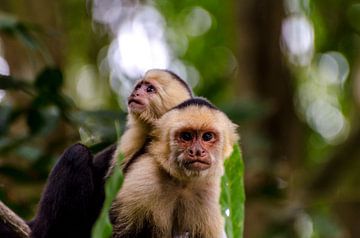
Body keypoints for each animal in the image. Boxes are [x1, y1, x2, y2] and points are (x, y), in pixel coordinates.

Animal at [109, 97, 239, 237]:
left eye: (207, 136)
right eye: (186, 136)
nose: (197, 151)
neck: (182, 183)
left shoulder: (211, 192)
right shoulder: (143, 175)